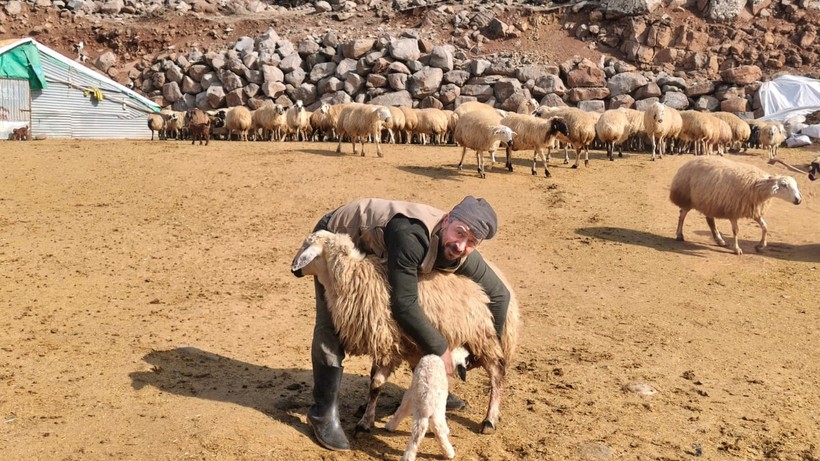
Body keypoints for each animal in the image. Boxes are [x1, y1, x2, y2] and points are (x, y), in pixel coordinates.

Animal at [672, 156, 800, 253]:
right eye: (784, 185)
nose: (798, 200)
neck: (756, 185)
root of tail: (691, 161)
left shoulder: (753, 210)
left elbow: (765, 226)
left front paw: (761, 245)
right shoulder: (733, 210)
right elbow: (736, 231)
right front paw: (737, 249)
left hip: (710, 201)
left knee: (710, 220)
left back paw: (719, 240)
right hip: (687, 197)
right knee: (682, 215)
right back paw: (679, 235)